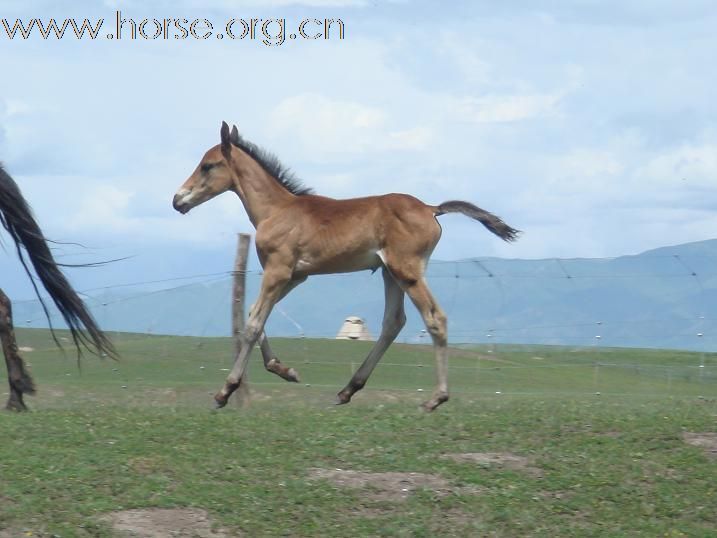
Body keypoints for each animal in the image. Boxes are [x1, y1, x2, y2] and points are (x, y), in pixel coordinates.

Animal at [176, 120, 516, 406]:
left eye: (207, 165)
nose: (178, 200)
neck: (277, 209)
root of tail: (431, 209)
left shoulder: (278, 271)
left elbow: (253, 324)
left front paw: (226, 390)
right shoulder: (296, 276)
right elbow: (253, 314)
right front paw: (284, 370)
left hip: (407, 271)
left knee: (435, 318)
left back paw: (436, 397)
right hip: (390, 273)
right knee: (393, 322)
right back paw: (348, 389)